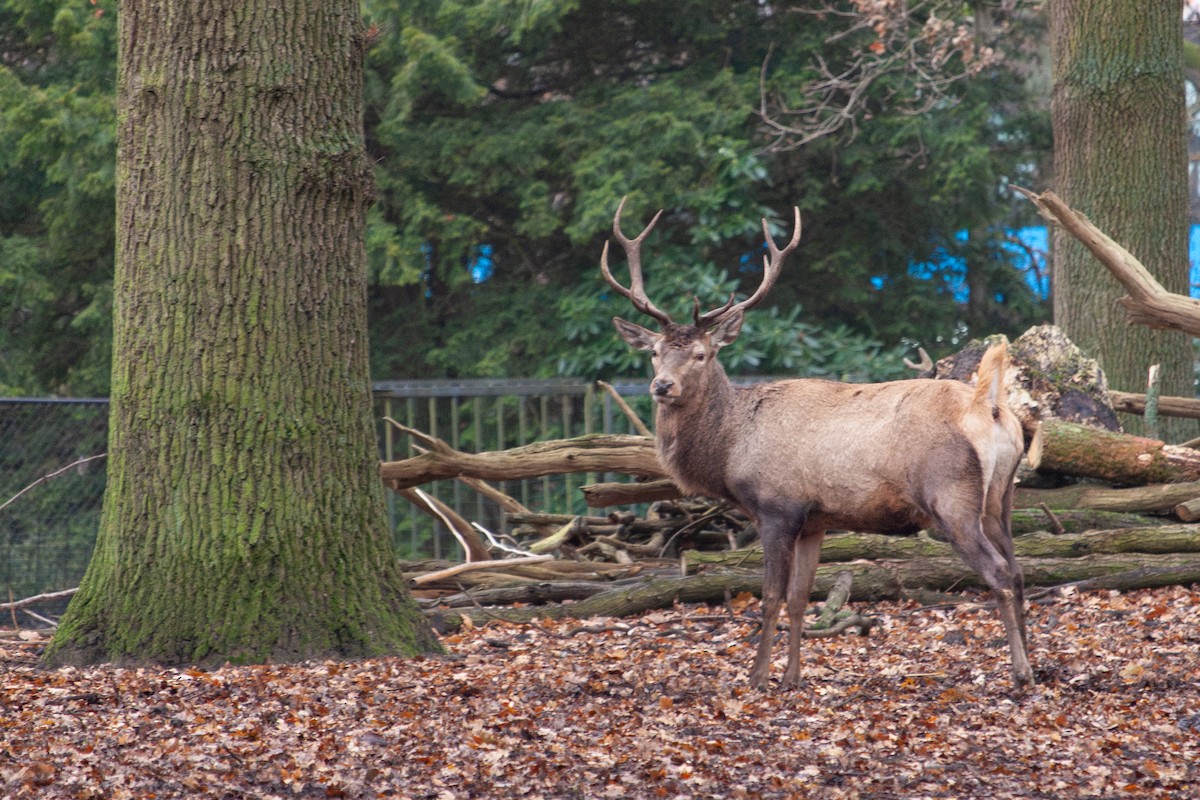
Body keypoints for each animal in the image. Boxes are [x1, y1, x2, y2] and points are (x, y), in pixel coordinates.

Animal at [601, 197, 1033, 690]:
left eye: (701, 354)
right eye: (654, 352)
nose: (662, 386)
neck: (730, 448)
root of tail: (991, 407)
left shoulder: (777, 506)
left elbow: (770, 596)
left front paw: (757, 677)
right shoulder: (815, 520)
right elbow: (799, 597)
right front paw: (792, 678)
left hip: (952, 495)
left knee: (998, 572)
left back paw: (1019, 672)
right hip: (1001, 497)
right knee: (1019, 569)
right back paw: (1036, 664)